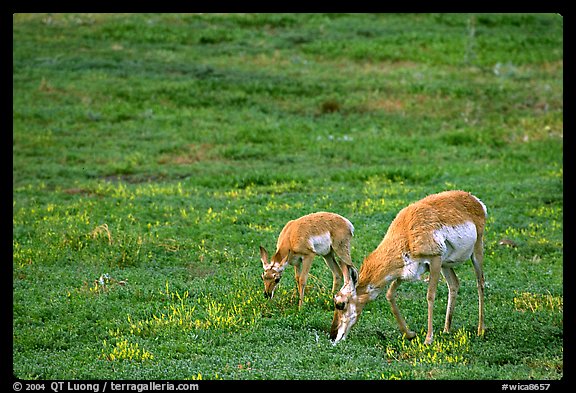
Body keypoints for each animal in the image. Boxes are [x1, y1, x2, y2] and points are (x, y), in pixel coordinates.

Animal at [328, 190, 486, 344]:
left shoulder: (435, 260)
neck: (406, 234)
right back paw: (446, 330)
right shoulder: (404, 273)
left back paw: (480, 330)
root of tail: (474, 199)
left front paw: (428, 339)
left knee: (480, 284)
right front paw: (409, 334)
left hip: (475, 252)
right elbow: (390, 295)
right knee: (454, 285)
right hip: (446, 265)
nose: (332, 336)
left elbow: (430, 296)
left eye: (341, 304)